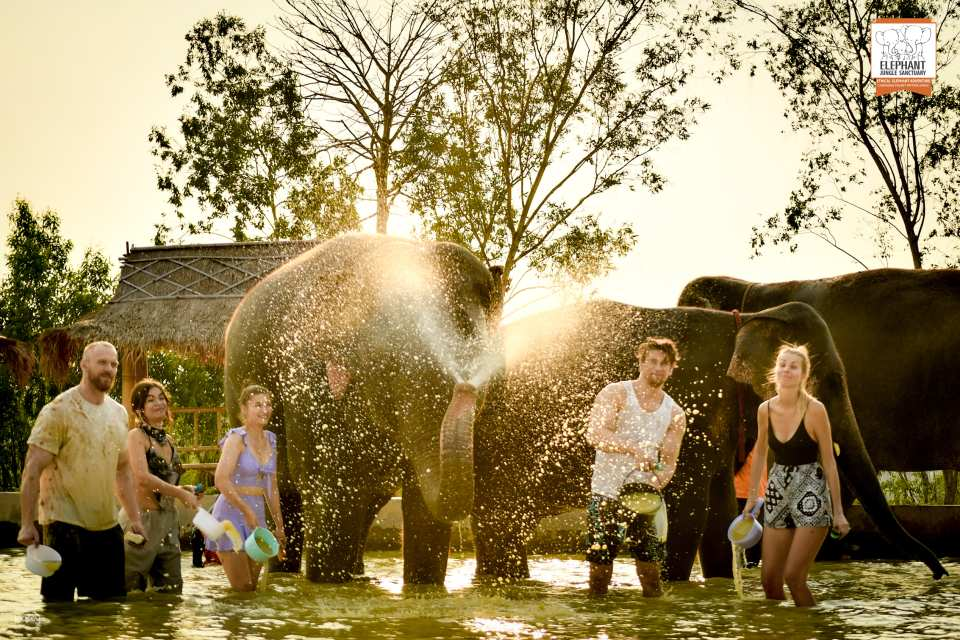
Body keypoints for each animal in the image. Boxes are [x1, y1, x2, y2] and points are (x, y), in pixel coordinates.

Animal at [223, 233, 498, 583]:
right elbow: (330, 492)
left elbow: (422, 511)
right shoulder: (311, 381)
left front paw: (424, 587)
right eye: (393, 367)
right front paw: (327, 581)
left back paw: (358, 574)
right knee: (283, 496)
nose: (465, 386)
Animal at [471, 299, 947, 583]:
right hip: (502, 441)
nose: (941, 576)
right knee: (501, 519)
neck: (748, 319)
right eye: (828, 380)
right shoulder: (698, 407)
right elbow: (688, 510)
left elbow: (718, 517)